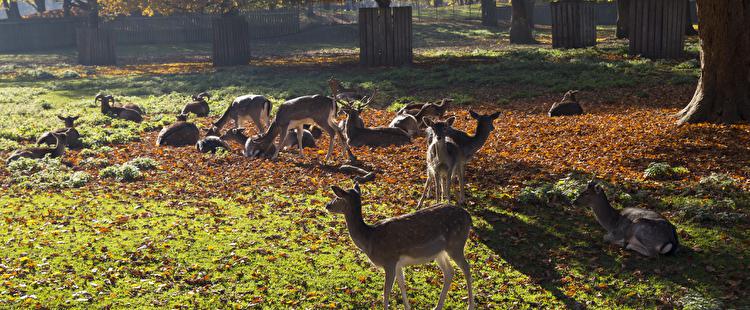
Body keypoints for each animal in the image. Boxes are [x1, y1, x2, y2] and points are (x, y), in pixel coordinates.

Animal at [324, 184, 476, 310]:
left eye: (338, 197)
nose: (327, 205)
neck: (370, 240)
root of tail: (469, 217)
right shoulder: (397, 263)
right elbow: (402, 284)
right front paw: (408, 307)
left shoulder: (389, 260)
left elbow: (386, 291)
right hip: (439, 252)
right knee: (449, 272)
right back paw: (438, 306)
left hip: (456, 244)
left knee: (466, 268)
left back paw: (470, 305)